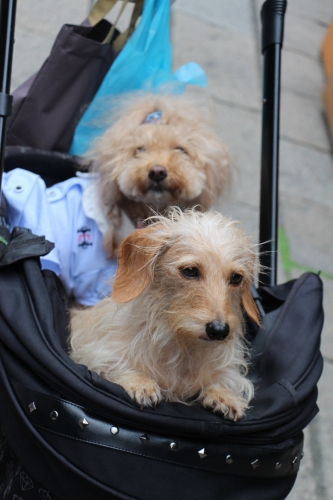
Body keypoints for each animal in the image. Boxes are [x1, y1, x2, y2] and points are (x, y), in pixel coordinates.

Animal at [69, 208, 256, 422]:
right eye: (190, 271)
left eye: (236, 277)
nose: (219, 330)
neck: (181, 346)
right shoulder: (96, 353)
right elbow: (114, 365)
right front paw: (140, 383)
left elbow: (222, 379)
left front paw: (224, 395)